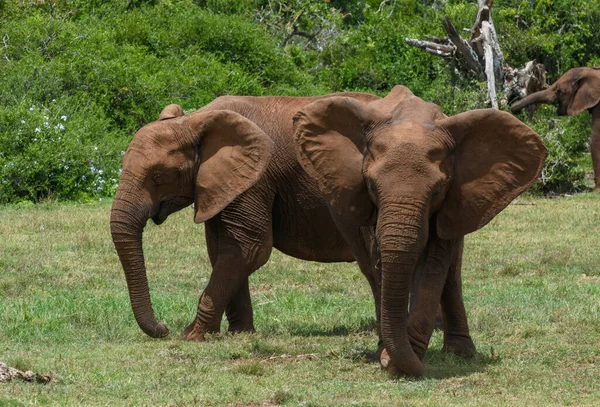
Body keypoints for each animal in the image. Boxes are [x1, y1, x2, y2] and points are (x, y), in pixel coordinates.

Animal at [110, 87, 548, 380]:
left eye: (158, 176)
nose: (162, 329)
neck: (196, 119)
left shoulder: (254, 178)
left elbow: (249, 249)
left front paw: (193, 336)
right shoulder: (230, 184)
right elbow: (225, 250)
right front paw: (238, 335)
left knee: (443, 265)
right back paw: (453, 352)